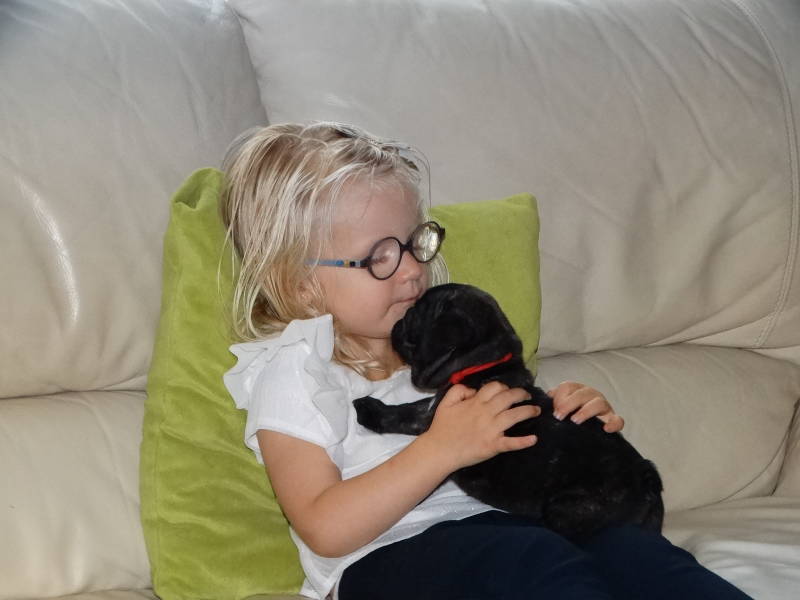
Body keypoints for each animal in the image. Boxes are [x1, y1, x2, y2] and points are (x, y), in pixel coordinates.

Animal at [353, 283, 663, 541]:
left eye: (416, 314)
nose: (400, 316)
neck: (485, 364)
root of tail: (648, 478)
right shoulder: (435, 410)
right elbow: (410, 409)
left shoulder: (437, 431)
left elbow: (408, 419)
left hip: (571, 507)